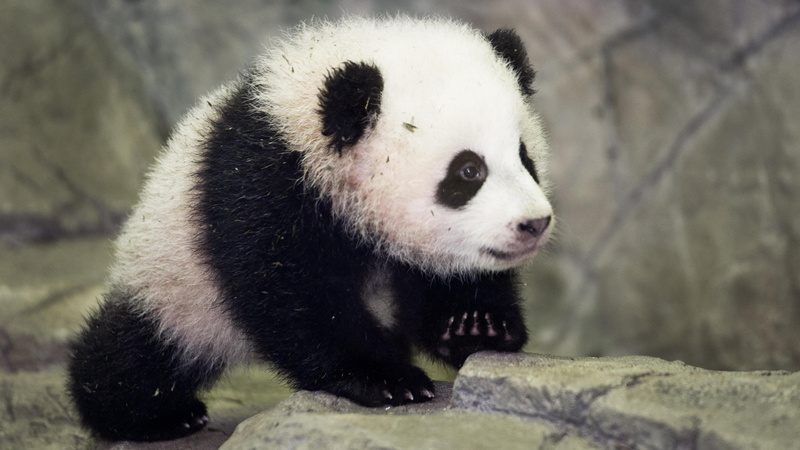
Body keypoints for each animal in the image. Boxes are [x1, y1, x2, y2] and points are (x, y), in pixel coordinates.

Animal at [67, 16, 553, 442]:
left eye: (524, 157)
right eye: (468, 171)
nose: (534, 223)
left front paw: (475, 325)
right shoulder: (263, 186)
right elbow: (291, 295)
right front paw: (386, 378)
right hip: (172, 276)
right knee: (139, 353)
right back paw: (157, 414)